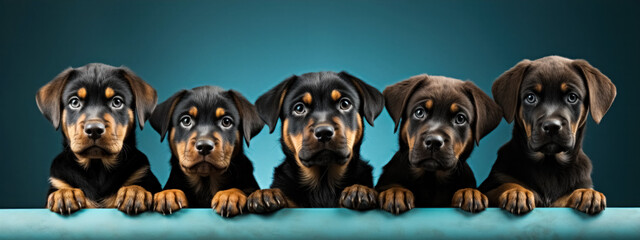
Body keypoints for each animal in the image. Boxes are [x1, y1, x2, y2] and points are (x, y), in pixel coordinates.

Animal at [36, 62, 161, 215]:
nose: (94, 130)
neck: (97, 168)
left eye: (117, 102)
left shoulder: (141, 174)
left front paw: (135, 192)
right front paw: (65, 194)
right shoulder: (58, 181)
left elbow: (137, 186)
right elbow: (62, 188)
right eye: (74, 102)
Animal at [149, 86, 262, 218]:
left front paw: (230, 195)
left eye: (226, 121)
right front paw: (169, 193)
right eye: (186, 120)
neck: (205, 185)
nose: (204, 146)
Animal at [248, 71, 382, 212]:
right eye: (299, 108)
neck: (323, 186)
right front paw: (265, 193)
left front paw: (359, 189)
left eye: (345, 104)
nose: (324, 133)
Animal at [376, 74, 504, 214]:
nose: (433, 142)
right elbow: (391, 185)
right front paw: (395, 192)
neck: (431, 180)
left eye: (460, 118)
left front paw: (470, 193)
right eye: (419, 112)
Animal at [480, 56, 616, 216]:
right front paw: (517, 192)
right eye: (530, 98)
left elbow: (567, 196)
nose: (552, 126)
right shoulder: (493, 183)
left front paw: (587, 193)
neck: (549, 166)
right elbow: (505, 185)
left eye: (572, 97)